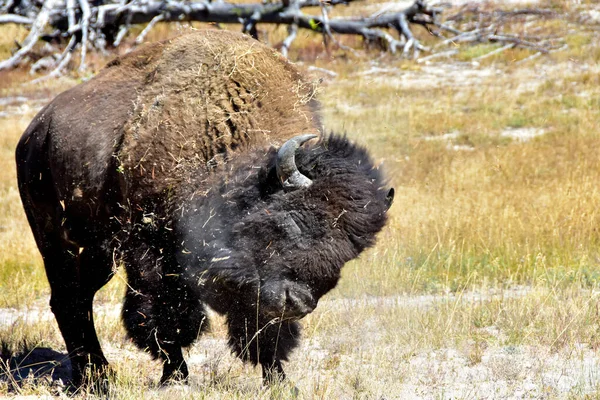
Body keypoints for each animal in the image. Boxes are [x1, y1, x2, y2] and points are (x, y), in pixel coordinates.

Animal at [14, 30, 394, 390]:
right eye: (292, 221)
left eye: (349, 255)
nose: (298, 303)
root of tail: (35, 130)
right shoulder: (153, 249)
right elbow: (167, 317)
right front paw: (175, 376)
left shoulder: (256, 289)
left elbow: (264, 334)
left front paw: (282, 382)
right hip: (53, 237)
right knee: (66, 298)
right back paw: (96, 379)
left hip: (100, 251)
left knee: (79, 297)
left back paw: (96, 375)